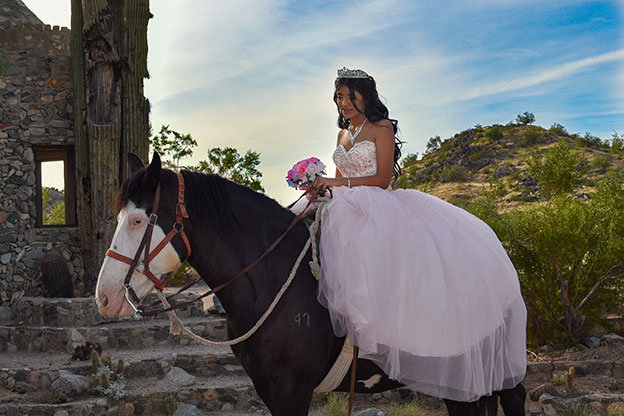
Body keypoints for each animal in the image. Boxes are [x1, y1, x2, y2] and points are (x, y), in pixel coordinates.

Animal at [96, 153, 528, 416]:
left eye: (138, 220)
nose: (105, 297)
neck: (273, 279)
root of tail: (495, 249)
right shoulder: (269, 390)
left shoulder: (292, 391)